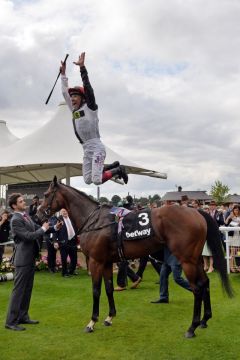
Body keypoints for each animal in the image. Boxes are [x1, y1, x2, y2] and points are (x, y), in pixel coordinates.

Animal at [36, 177, 233, 338]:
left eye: (46, 194)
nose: (38, 214)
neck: (94, 220)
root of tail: (196, 212)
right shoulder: (107, 262)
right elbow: (109, 288)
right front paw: (109, 317)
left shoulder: (95, 261)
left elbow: (96, 290)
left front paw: (92, 322)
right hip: (196, 258)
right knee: (205, 282)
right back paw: (205, 320)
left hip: (187, 260)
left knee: (197, 288)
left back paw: (192, 327)